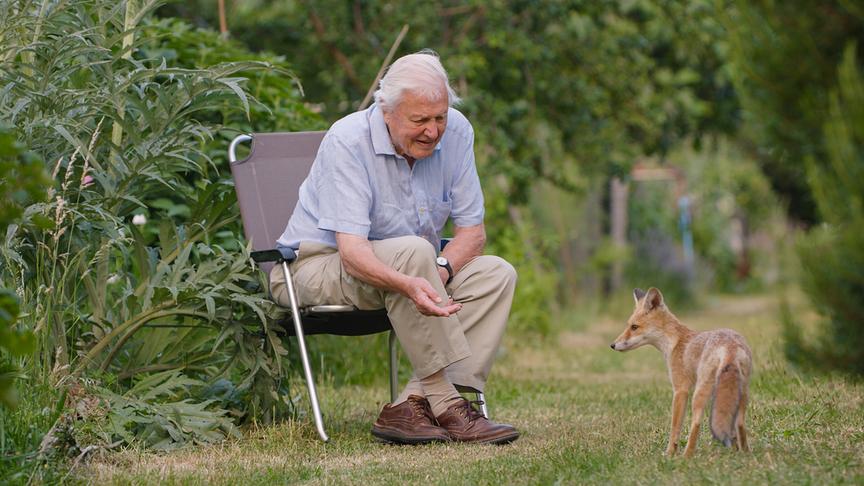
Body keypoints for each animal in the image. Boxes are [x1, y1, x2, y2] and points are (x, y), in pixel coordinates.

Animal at [610, 287, 752, 457]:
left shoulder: (680, 390)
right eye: (629, 325)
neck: (674, 342)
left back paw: (687, 456)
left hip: (699, 395)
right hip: (741, 393)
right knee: (740, 423)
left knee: (696, 423)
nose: (612, 345)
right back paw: (745, 453)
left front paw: (670, 453)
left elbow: (675, 428)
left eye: (634, 327)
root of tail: (730, 345)